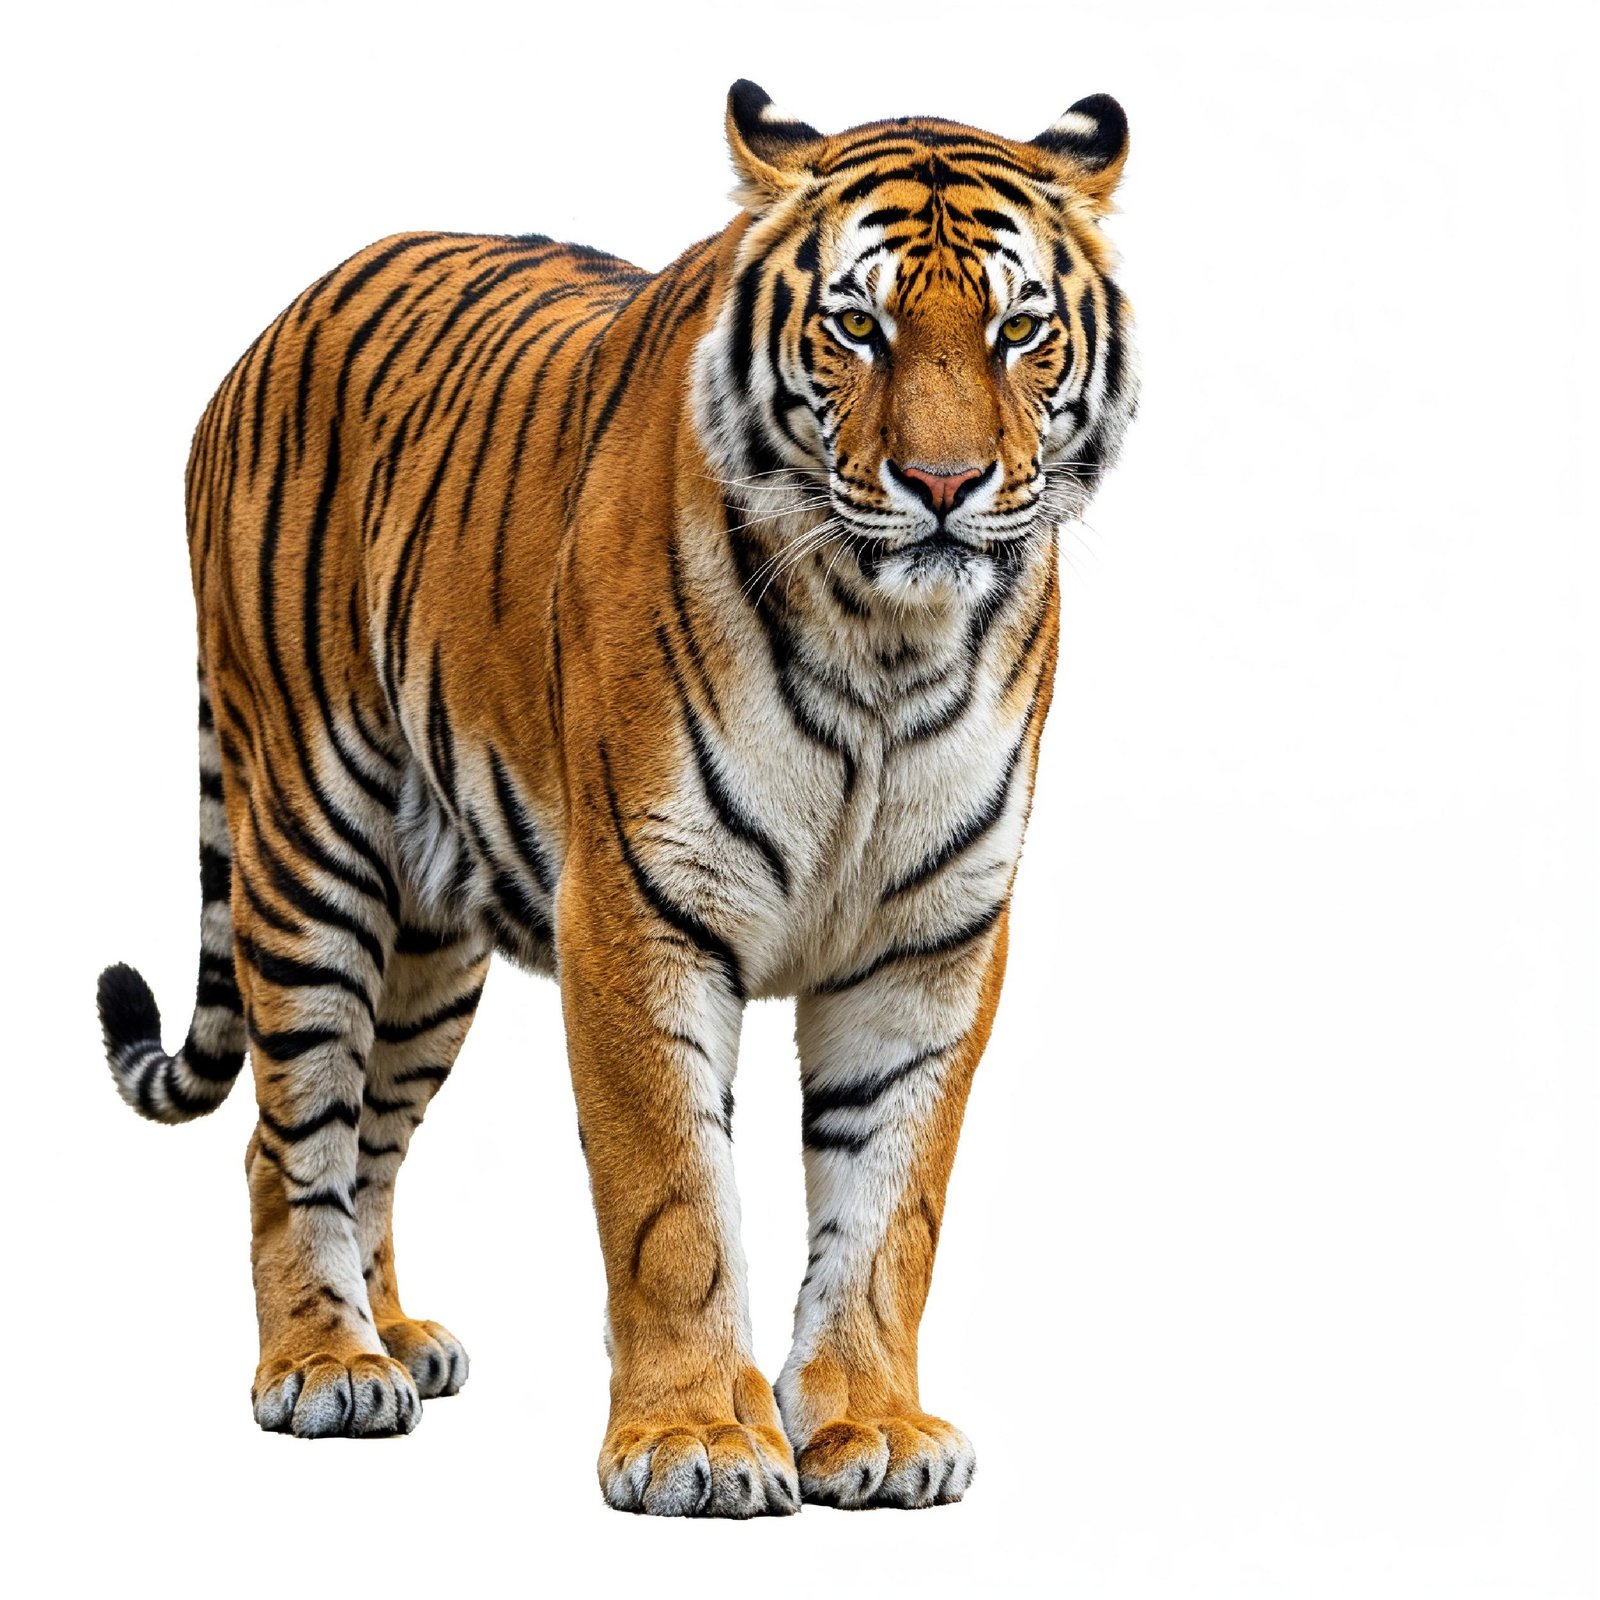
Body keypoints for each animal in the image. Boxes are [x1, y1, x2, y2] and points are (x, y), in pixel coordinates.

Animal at [95, 80, 1137, 1515]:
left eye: (1018, 329)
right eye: (855, 327)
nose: (942, 487)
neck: (886, 643)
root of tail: (272, 327)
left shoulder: (931, 940)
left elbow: (889, 1206)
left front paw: (868, 1425)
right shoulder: (641, 906)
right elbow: (673, 1198)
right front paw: (695, 1439)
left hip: (431, 941)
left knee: (370, 1133)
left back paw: (395, 1337)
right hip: (310, 844)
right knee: (287, 1130)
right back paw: (322, 1365)